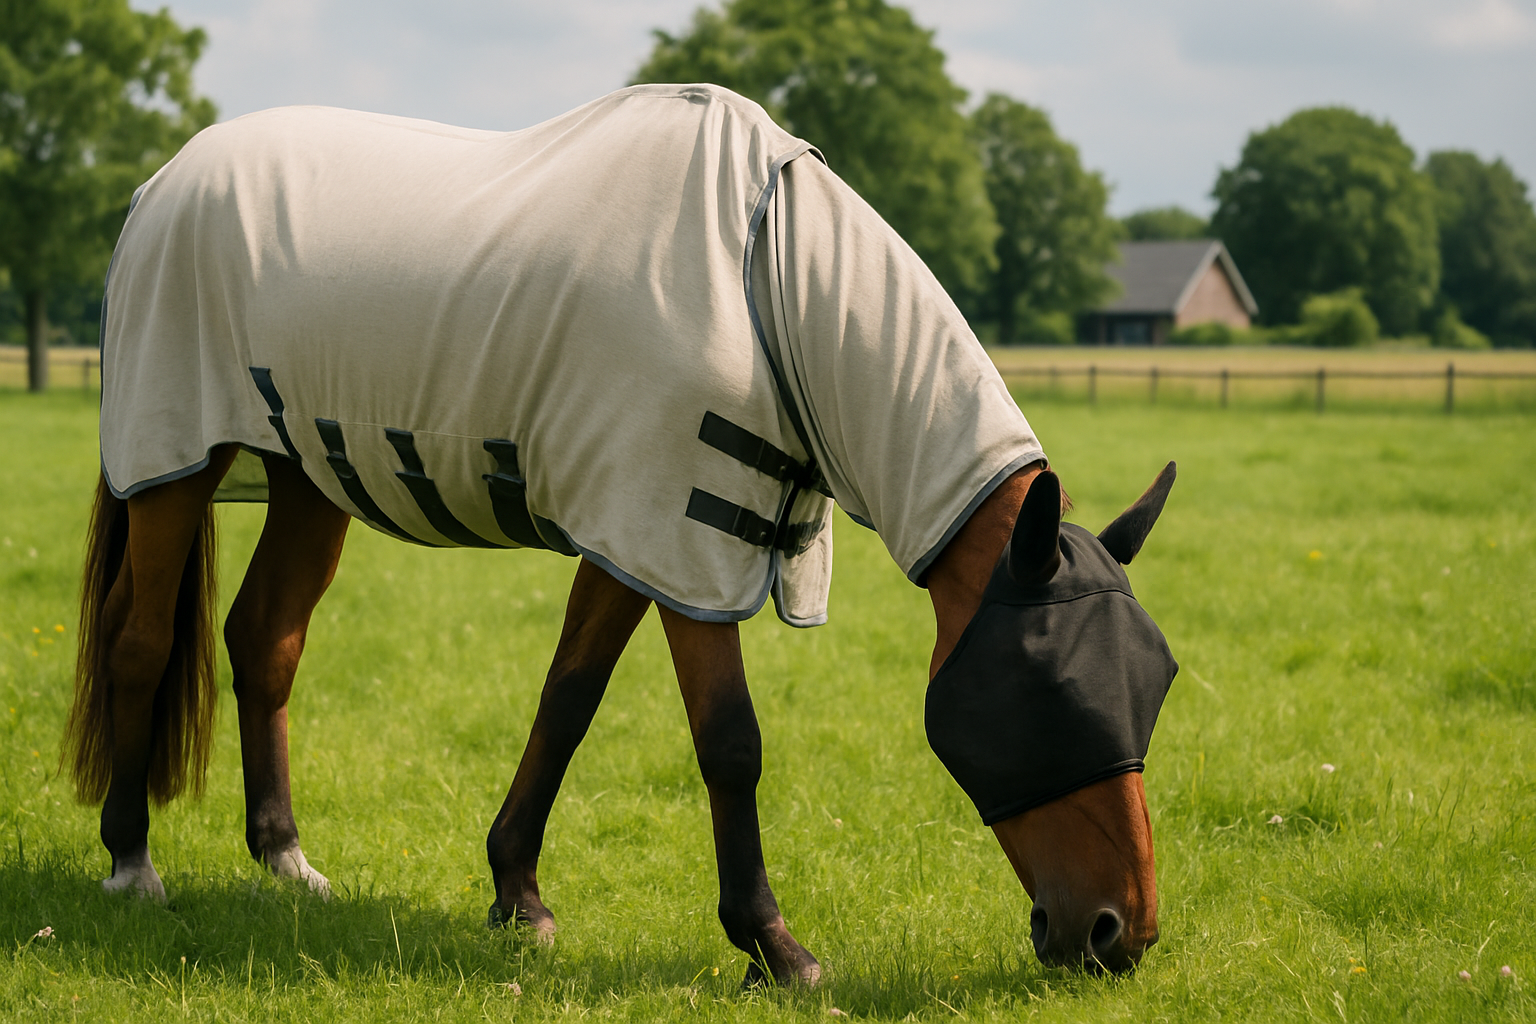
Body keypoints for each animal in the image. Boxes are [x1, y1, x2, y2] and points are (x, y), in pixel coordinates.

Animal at [63, 84, 1178, 981]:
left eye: (1154, 682)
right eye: (1052, 692)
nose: (1118, 933)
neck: (764, 286)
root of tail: (161, 186)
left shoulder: (637, 534)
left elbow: (568, 701)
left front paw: (517, 895)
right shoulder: (685, 544)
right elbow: (729, 743)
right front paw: (773, 945)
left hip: (304, 477)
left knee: (265, 640)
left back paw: (285, 858)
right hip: (175, 466)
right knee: (141, 641)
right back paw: (131, 860)